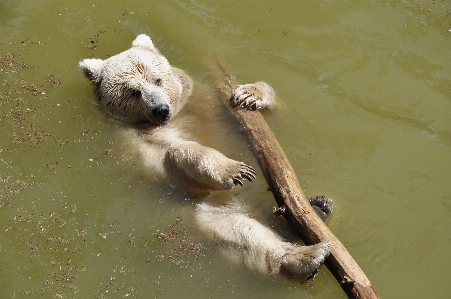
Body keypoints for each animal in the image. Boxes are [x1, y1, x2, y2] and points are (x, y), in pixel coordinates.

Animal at [78, 34, 332, 282]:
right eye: (133, 91)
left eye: (157, 79)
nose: (160, 109)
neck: (178, 114)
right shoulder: (137, 140)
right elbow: (172, 156)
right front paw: (234, 170)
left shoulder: (204, 102)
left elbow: (270, 123)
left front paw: (250, 94)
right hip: (212, 211)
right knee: (242, 233)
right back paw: (309, 254)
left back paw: (319, 206)